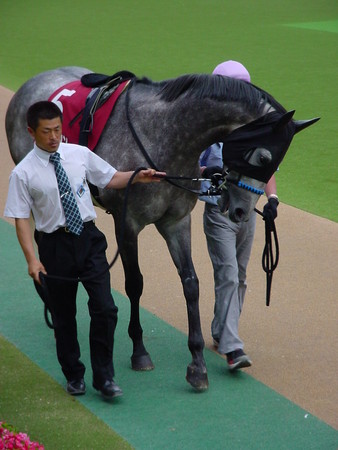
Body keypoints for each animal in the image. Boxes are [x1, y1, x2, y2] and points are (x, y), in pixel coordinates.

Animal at [4, 67, 316, 390]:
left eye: (276, 165)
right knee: (39, 239)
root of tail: (33, 80)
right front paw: (139, 352)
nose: (241, 211)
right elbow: (134, 284)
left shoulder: (176, 221)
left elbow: (191, 283)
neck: (164, 135)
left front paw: (198, 363)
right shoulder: (127, 222)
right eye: (264, 157)